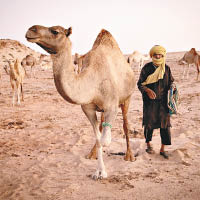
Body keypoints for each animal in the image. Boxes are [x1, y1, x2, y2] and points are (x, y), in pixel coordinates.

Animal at [25, 24, 136, 179]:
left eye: (55, 31)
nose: (31, 29)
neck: (92, 81)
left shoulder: (111, 105)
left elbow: (105, 140)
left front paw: (103, 172)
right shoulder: (88, 109)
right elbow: (98, 138)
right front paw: (98, 171)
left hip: (127, 98)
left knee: (125, 124)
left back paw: (129, 156)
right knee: (102, 124)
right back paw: (92, 154)